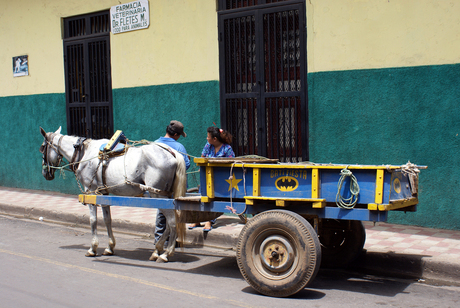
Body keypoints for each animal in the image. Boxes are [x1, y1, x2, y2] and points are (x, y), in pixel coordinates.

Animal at [40, 126, 187, 262]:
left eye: (42, 148)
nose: (45, 173)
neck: (84, 153)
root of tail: (172, 153)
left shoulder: (90, 191)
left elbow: (93, 220)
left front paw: (92, 248)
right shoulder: (103, 192)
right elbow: (107, 219)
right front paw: (110, 247)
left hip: (158, 195)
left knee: (172, 222)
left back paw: (166, 254)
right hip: (164, 195)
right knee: (169, 222)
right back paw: (158, 250)